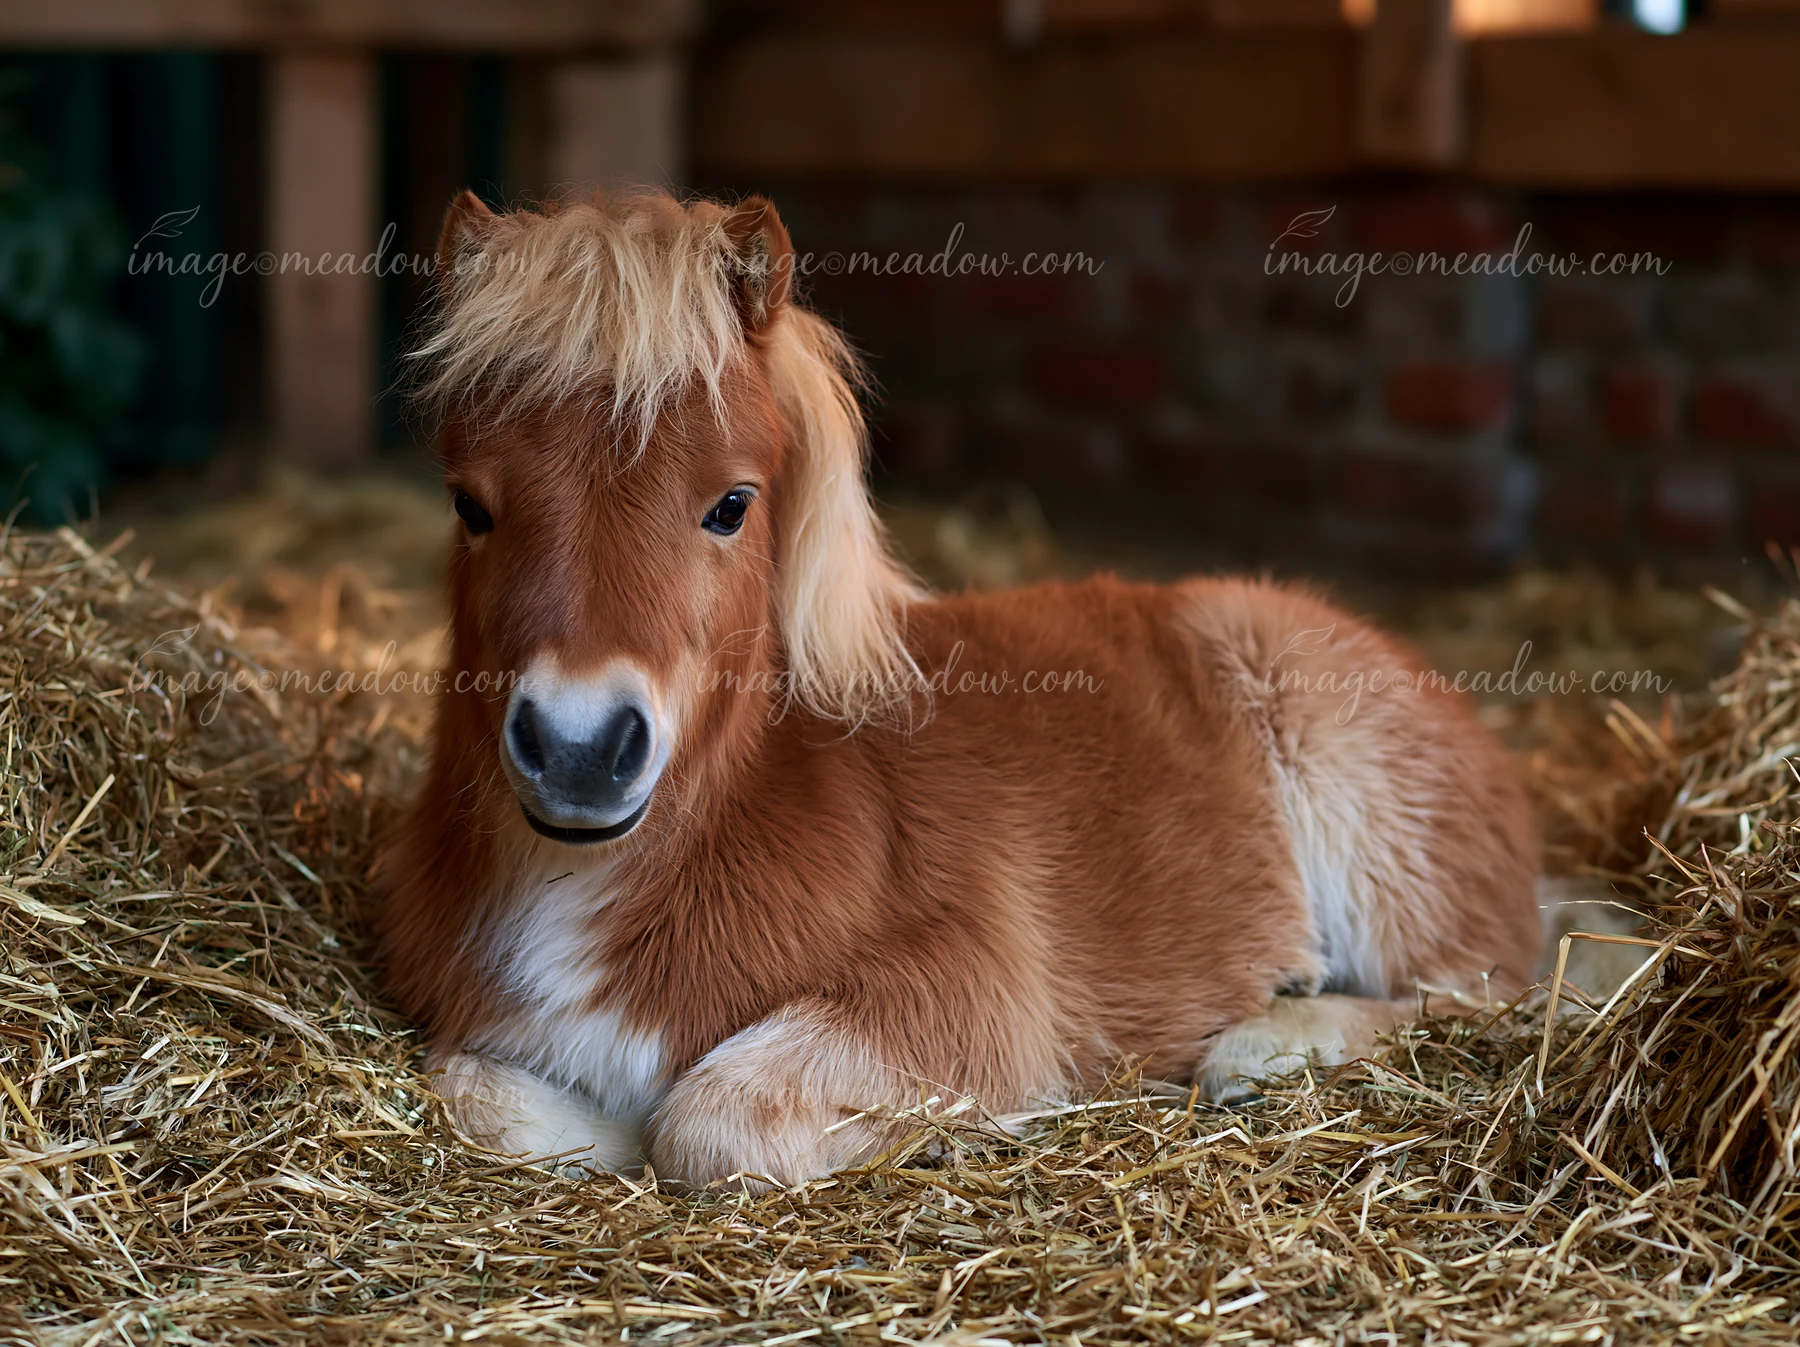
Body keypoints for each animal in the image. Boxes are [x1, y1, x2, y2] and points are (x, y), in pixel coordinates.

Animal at [377, 188, 1542, 1187]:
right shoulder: (474, 1032)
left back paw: (1264, 1047)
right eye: (468, 502)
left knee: (1489, 992)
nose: (578, 750)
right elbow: (471, 1090)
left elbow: (708, 1118)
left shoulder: (962, 995)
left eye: (732, 504)